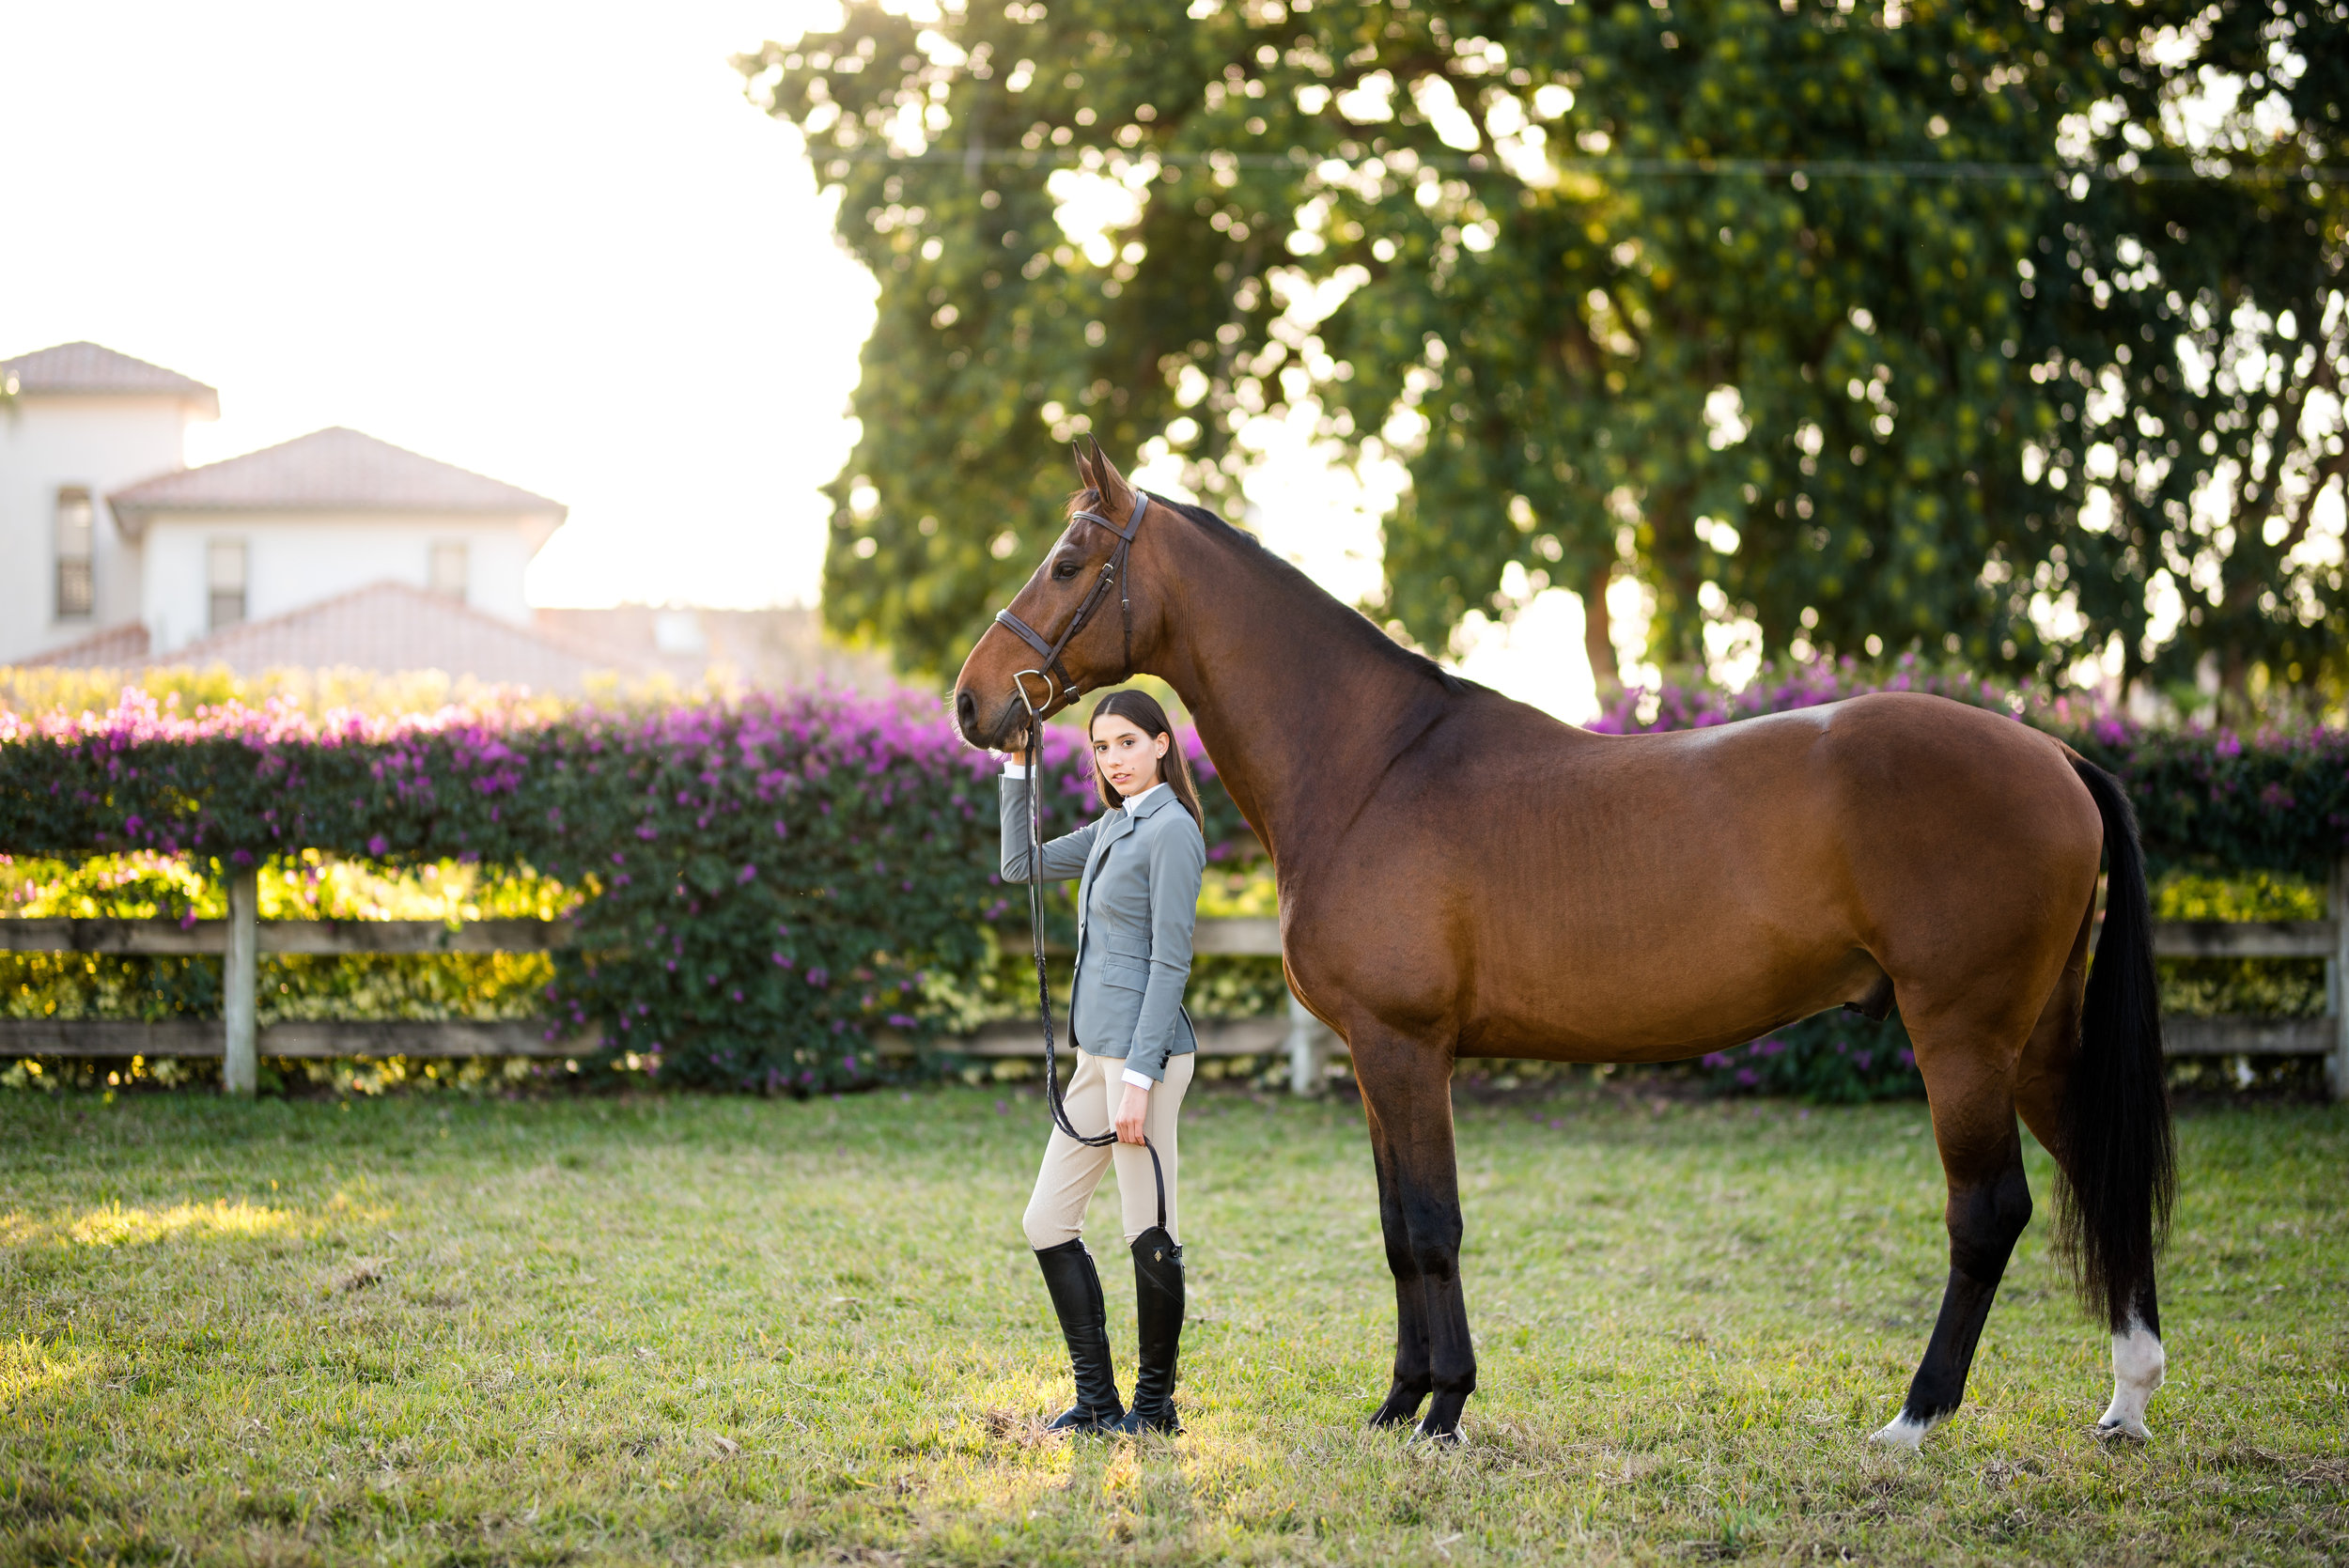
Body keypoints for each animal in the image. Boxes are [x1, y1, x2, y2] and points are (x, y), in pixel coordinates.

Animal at [951, 441, 2173, 1448]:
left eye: (1066, 561)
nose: (971, 704)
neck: (1371, 764)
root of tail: (2055, 754)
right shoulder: (1376, 1060)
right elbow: (1395, 1229)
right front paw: (1398, 1402)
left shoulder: (1406, 1048)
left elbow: (1431, 1225)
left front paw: (1444, 1408)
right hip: (2033, 1037)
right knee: (2097, 1169)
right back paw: (2125, 1400)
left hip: (1960, 1034)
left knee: (1989, 1212)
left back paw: (1917, 1415)